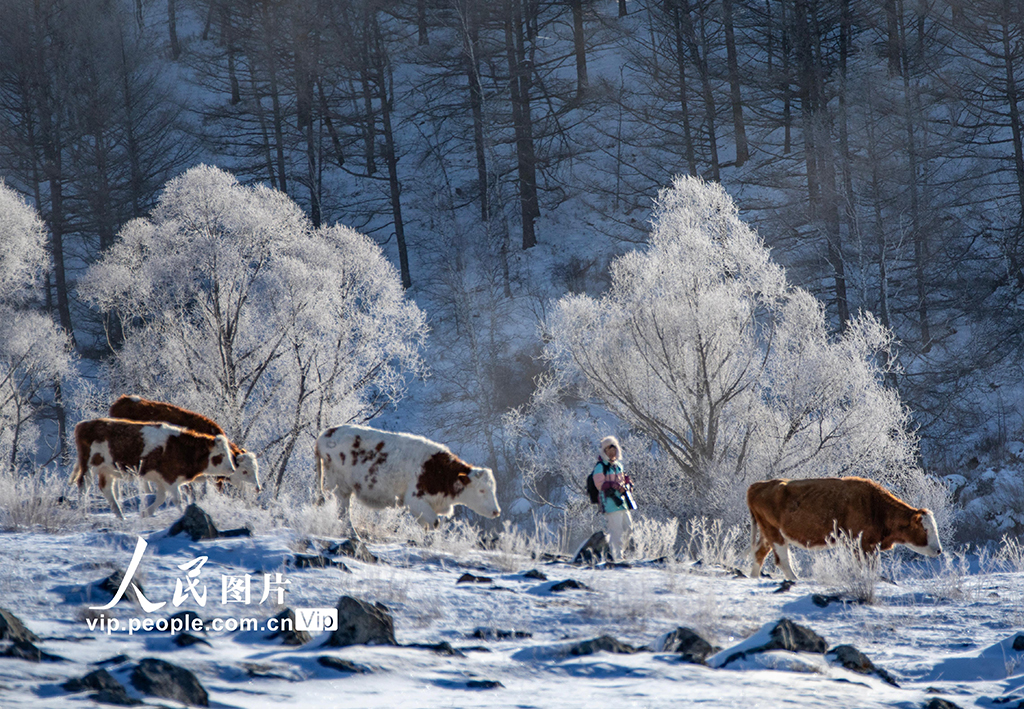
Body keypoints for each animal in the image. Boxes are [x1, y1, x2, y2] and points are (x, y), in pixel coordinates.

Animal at [313, 420, 501, 532]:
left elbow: (429, 525)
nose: (496, 511)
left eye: (493, 490)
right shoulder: (414, 500)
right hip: (340, 486)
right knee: (344, 512)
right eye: (482, 490)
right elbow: (434, 524)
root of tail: (326, 433)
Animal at [745, 475, 942, 581]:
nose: (939, 550)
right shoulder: (861, 543)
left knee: (759, 554)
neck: (875, 506)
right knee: (783, 561)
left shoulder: (870, 545)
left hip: (769, 534)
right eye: (925, 529)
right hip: (774, 533)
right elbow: (866, 566)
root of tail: (758, 485)